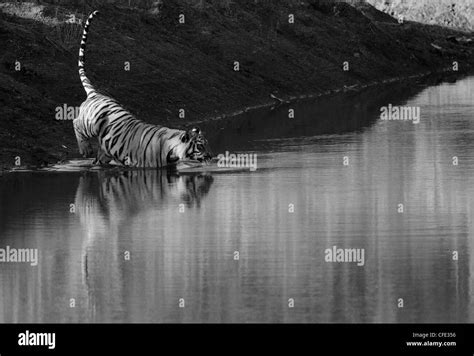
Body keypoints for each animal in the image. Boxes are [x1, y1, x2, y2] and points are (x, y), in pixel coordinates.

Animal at [73, 10, 212, 168]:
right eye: (200, 146)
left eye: (207, 144)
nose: (211, 156)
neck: (172, 150)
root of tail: (96, 93)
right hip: (91, 123)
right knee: (76, 122)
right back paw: (85, 150)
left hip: (105, 149)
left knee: (99, 158)